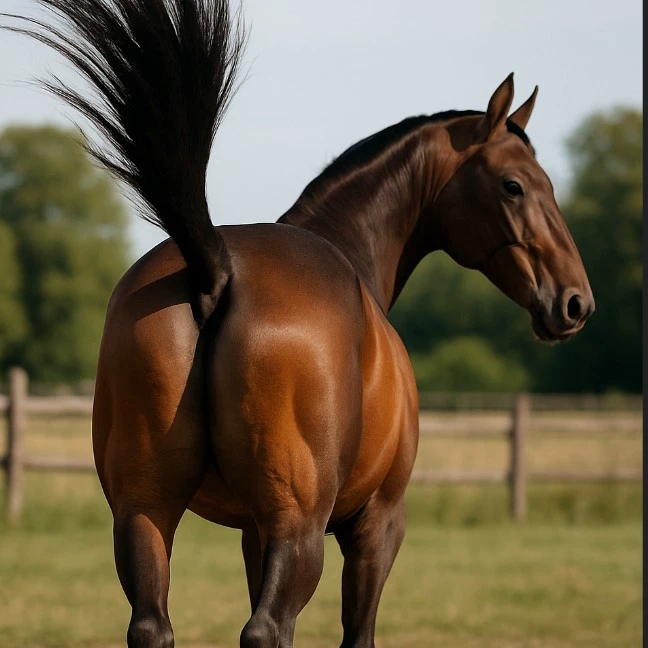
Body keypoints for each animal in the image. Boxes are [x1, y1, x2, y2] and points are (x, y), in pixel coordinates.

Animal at [9, 1, 594, 646]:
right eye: (515, 186)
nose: (574, 301)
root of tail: (215, 265)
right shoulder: (376, 524)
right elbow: (356, 633)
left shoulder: (251, 531)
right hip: (300, 526)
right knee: (267, 628)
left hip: (145, 511)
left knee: (153, 625)